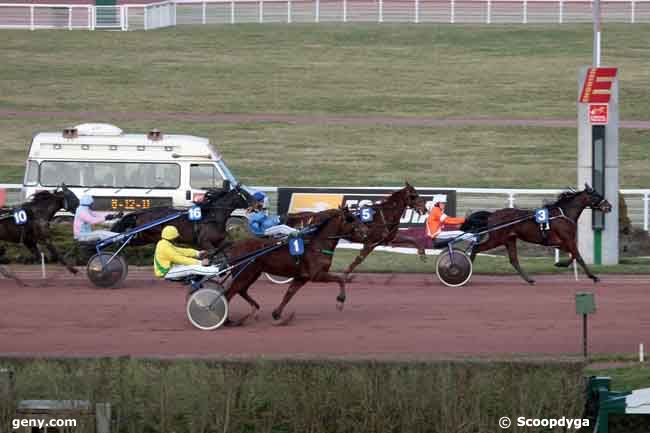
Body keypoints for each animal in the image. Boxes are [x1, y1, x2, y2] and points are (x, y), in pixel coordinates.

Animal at [111, 183, 256, 250]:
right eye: (245, 195)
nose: (258, 203)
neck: (212, 217)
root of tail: (141, 212)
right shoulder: (205, 242)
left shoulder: (219, 242)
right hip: (150, 235)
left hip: (146, 237)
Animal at [220, 207, 368, 324]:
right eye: (351, 219)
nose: (366, 232)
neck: (316, 245)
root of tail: (233, 246)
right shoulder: (317, 275)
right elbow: (340, 279)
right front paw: (340, 301)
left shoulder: (302, 277)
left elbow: (289, 294)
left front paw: (277, 314)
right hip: (245, 273)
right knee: (229, 293)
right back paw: (226, 320)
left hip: (252, 273)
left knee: (241, 290)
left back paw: (254, 309)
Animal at [284, 182, 426, 280]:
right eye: (414, 196)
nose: (424, 209)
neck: (385, 215)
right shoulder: (370, 243)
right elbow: (358, 260)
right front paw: (345, 275)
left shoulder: (388, 239)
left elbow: (412, 239)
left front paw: (422, 254)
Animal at [460, 185, 608, 284]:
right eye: (597, 195)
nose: (609, 206)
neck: (564, 214)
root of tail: (492, 214)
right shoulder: (567, 239)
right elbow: (578, 256)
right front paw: (594, 277)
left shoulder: (560, 242)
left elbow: (573, 255)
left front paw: (560, 264)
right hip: (497, 238)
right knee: (476, 248)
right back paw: (468, 269)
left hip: (509, 239)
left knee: (514, 260)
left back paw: (529, 279)